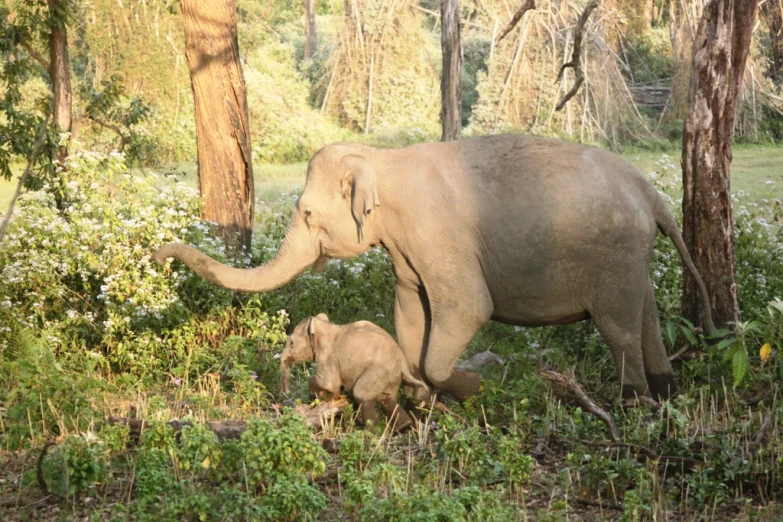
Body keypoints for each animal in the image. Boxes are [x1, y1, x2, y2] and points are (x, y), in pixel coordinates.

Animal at [153, 133, 716, 398]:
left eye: (307, 214)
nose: (159, 256)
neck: (383, 159)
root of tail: (651, 192)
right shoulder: (407, 253)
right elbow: (409, 314)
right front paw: (416, 394)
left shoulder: (437, 236)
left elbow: (467, 307)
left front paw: (471, 385)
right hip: (632, 257)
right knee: (647, 318)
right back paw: (665, 392)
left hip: (614, 254)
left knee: (618, 328)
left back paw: (633, 403)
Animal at [282, 312, 428, 426]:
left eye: (292, 343)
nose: (287, 393)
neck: (324, 325)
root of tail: (403, 363)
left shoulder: (327, 355)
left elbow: (328, 383)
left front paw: (329, 395)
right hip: (391, 376)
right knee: (387, 399)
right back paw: (405, 426)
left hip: (378, 371)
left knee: (362, 394)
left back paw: (371, 432)